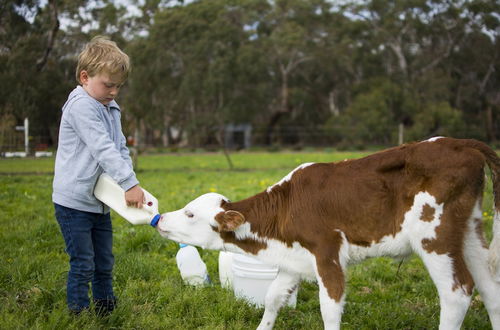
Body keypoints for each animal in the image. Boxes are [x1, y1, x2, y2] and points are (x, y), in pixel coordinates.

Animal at [156, 137, 500, 330]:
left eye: (190, 213)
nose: (160, 219)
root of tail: (460, 143)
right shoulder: (294, 259)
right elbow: (272, 298)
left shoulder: (327, 253)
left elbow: (330, 309)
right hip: (470, 231)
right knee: (490, 288)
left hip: (434, 236)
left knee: (457, 292)